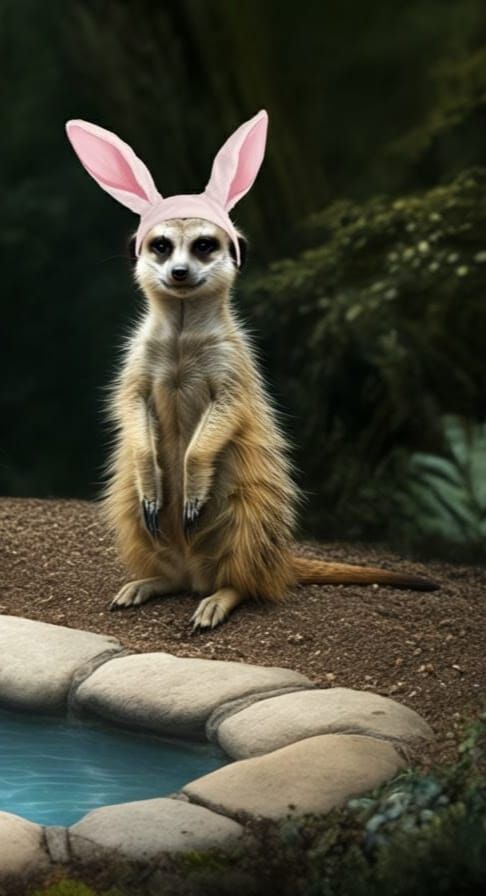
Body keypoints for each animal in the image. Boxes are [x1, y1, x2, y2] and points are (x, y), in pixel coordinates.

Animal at [65, 111, 438, 630]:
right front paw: (149, 471)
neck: (182, 334)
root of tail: (196, 567)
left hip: (251, 507)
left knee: (244, 573)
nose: (179, 272)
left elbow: (229, 405)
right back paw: (147, 582)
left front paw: (193, 473)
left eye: (204, 245)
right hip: (128, 513)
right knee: (153, 543)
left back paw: (218, 599)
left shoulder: (234, 363)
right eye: (161, 245)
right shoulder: (136, 358)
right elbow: (130, 401)